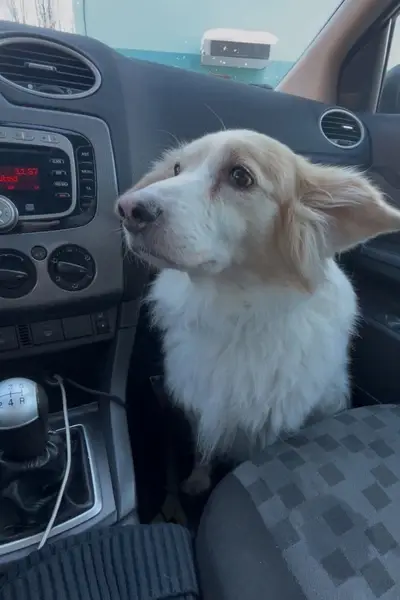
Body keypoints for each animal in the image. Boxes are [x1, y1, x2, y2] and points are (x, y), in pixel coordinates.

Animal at [117, 129, 400, 495]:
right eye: (177, 168)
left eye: (240, 176)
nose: (127, 208)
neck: (234, 309)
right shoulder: (200, 402)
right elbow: (203, 447)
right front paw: (197, 480)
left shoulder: (272, 423)